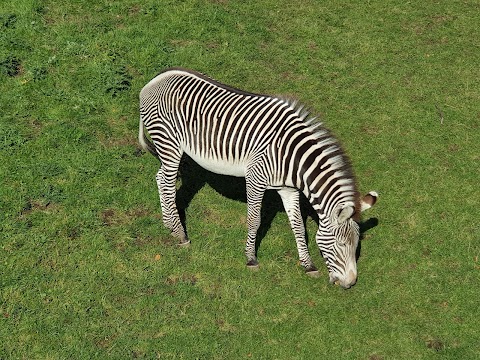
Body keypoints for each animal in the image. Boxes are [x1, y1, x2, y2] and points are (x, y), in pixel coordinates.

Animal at [137, 68, 376, 290]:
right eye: (340, 244)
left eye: (356, 245)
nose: (350, 283)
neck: (291, 157)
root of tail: (155, 80)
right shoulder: (255, 179)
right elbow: (254, 220)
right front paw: (251, 259)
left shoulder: (288, 189)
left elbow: (298, 226)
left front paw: (308, 265)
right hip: (169, 144)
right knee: (166, 183)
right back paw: (180, 234)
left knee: (160, 178)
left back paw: (169, 225)